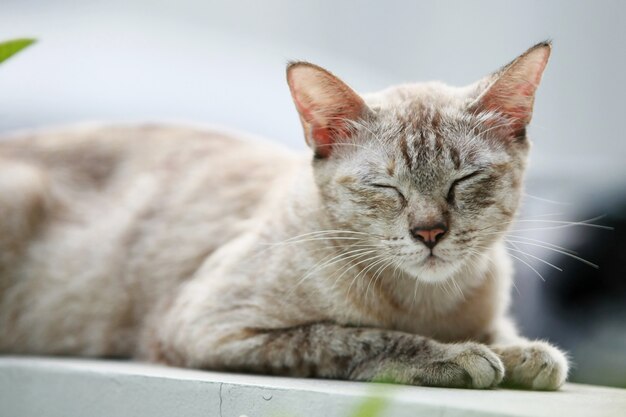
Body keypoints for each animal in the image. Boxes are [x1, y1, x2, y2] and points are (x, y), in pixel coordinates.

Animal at [0, 40, 564, 388]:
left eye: (462, 181)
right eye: (385, 187)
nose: (429, 233)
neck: (430, 303)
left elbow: (502, 335)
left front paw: (523, 355)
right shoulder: (213, 327)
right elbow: (351, 337)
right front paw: (458, 356)